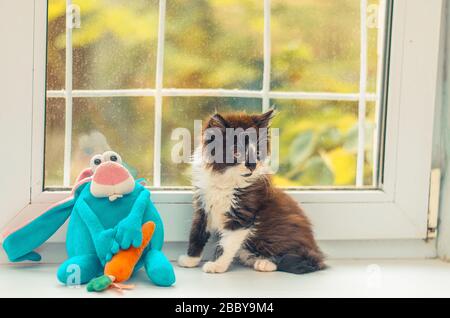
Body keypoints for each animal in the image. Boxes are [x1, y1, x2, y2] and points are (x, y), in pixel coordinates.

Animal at [177, 110, 324, 274]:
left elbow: (227, 244)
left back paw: (265, 263)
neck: (226, 180)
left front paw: (217, 265)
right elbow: (196, 234)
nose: (252, 165)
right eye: (236, 152)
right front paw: (190, 260)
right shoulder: (203, 206)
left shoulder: (242, 214)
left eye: (258, 152)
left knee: (304, 260)